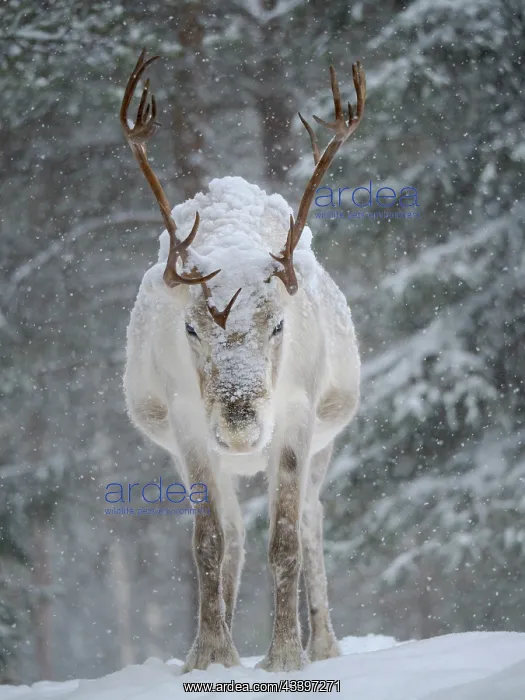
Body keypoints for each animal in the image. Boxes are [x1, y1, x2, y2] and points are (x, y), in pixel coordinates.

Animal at [120, 49, 365, 672]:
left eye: (278, 324)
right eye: (190, 327)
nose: (239, 428)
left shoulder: (298, 416)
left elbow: (285, 540)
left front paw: (285, 656)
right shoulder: (187, 425)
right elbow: (207, 542)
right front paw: (212, 655)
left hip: (327, 440)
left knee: (312, 521)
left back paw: (324, 642)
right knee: (232, 532)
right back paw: (210, 644)